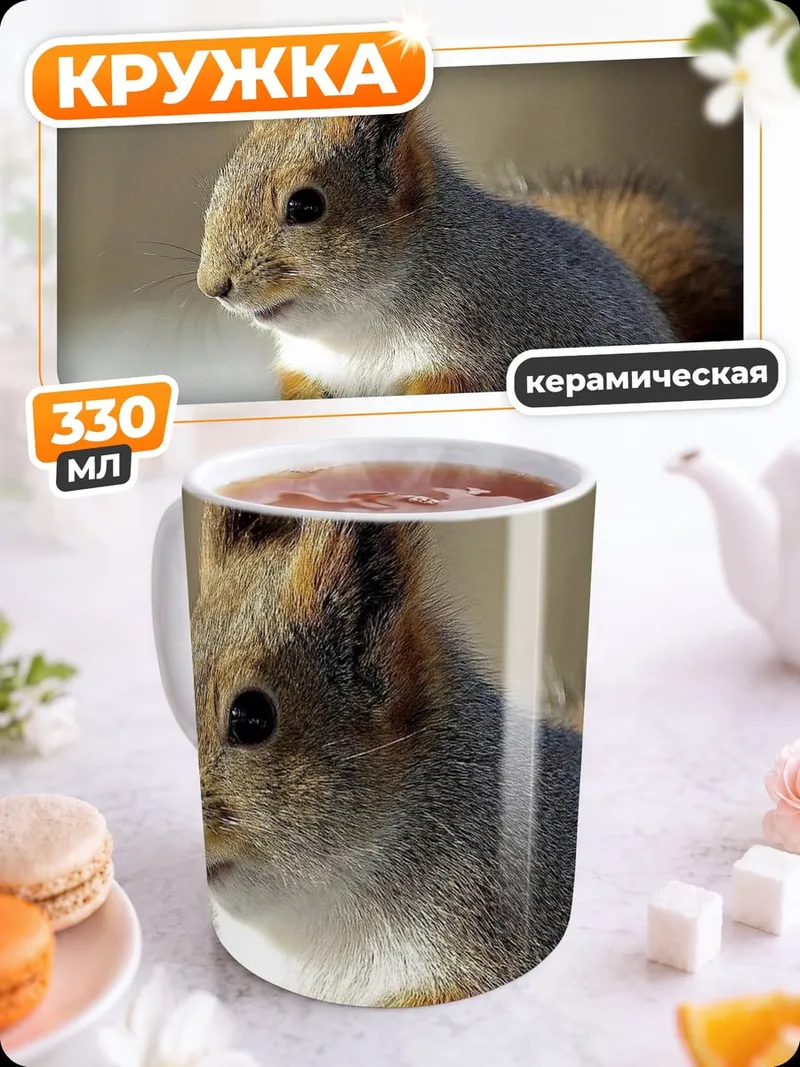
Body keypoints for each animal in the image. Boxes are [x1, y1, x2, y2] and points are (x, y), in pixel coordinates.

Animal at [196, 107, 743, 401]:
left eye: (305, 205)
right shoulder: (307, 372)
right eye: (221, 184)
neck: (355, 333)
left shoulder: (477, 359)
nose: (213, 286)